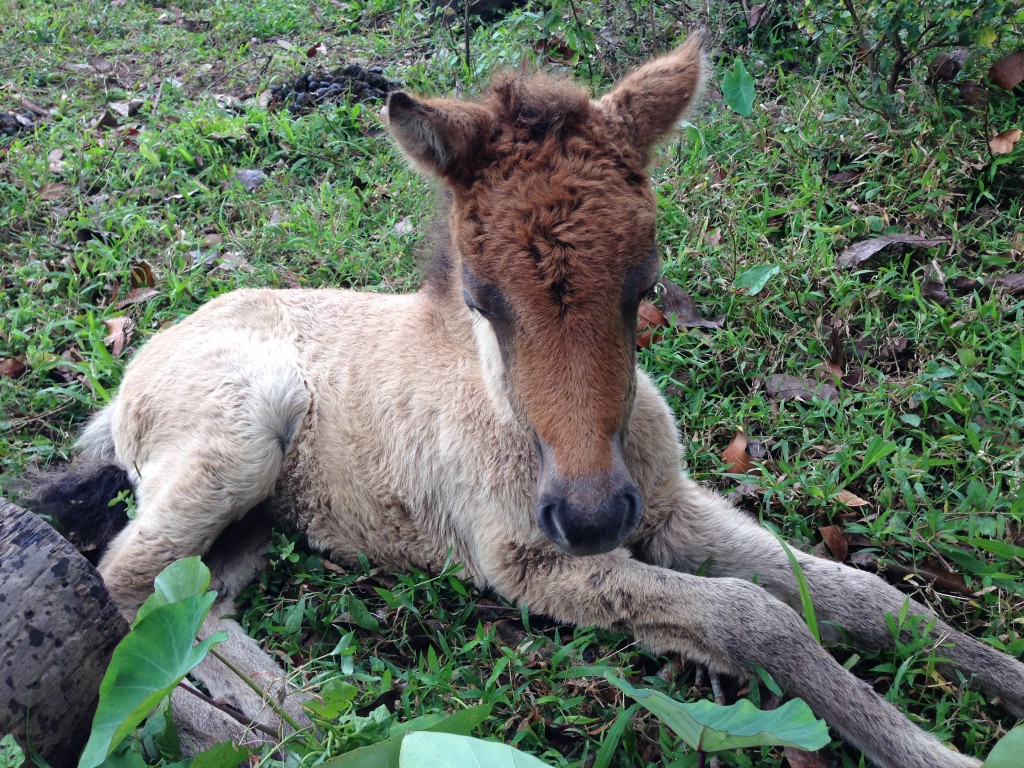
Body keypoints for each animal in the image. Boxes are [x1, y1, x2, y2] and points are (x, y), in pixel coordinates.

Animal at [32, 36, 1023, 767]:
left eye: (644, 282)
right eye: (481, 299)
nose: (590, 516)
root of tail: (135, 373)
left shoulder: (671, 510)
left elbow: (869, 599)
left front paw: (1001, 679)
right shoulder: (526, 561)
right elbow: (756, 616)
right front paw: (935, 752)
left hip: (259, 511)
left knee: (191, 602)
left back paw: (282, 715)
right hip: (235, 446)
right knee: (124, 586)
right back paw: (245, 728)